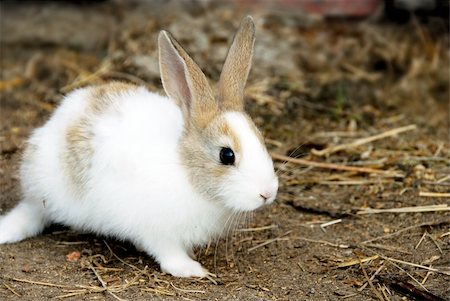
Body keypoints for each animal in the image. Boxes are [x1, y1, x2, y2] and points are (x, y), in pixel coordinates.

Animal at [0, 16, 278, 276]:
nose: (267, 193)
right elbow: (167, 253)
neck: (186, 170)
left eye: (261, 138)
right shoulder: (156, 231)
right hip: (47, 192)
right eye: (226, 155)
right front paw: (191, 269)